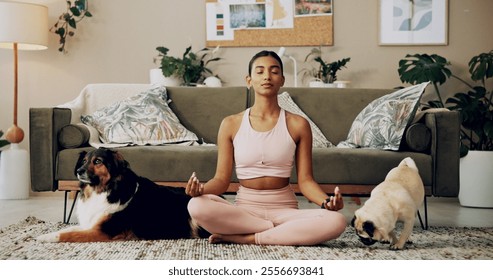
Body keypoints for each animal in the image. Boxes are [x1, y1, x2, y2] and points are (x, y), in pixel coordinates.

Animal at [36, 148, 209, 242]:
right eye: (83, 161)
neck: (103, 190)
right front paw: (45, 235)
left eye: (97, 161)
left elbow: (69, 235)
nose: (79, 171)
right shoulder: (92, 223)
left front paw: (46, 239)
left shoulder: (102, 232)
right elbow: (67, 229)